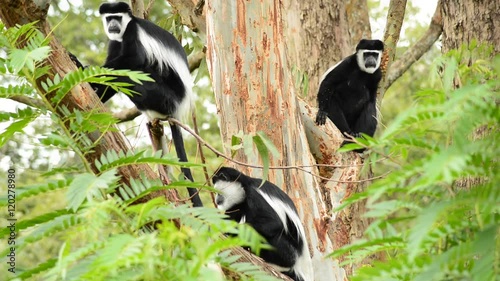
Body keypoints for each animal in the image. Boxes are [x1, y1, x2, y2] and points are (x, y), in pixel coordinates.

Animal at [97, 1, 201, 206]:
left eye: (117, 17)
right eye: (109, 18)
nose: (113, 25)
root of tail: (177, 107)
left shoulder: (132, 31)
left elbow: (133, 59)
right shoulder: (115, 41)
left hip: (164, 96)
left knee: (136, 70)